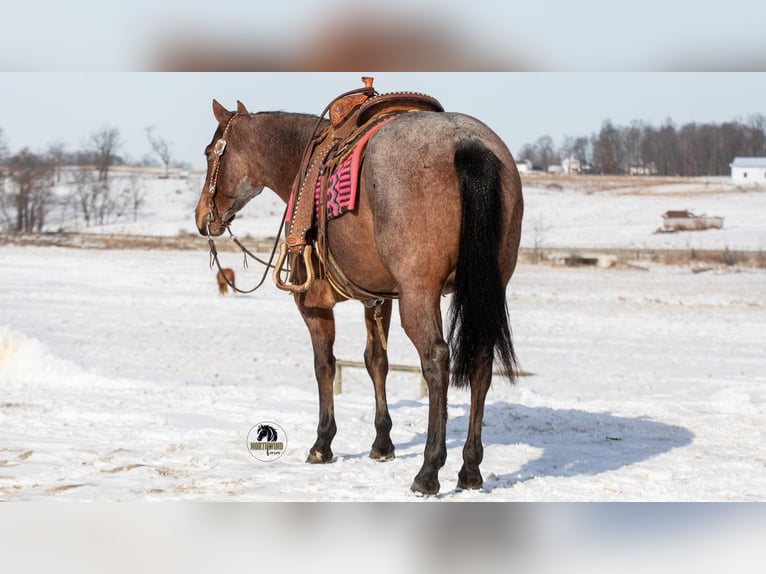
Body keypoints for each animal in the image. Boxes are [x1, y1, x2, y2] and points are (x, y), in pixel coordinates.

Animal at [194, 94, 523, 495]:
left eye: (210, 153)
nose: (202, 217)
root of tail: (467, 142)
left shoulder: (314, 304)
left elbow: (324, 365)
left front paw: (322, 443)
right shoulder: (379, 299)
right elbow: (376, 361)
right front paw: (382, 444)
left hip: (420, 293)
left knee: (436, 360)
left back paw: (428, 471)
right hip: (486, 288)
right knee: (480, 362)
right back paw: (470, 469)